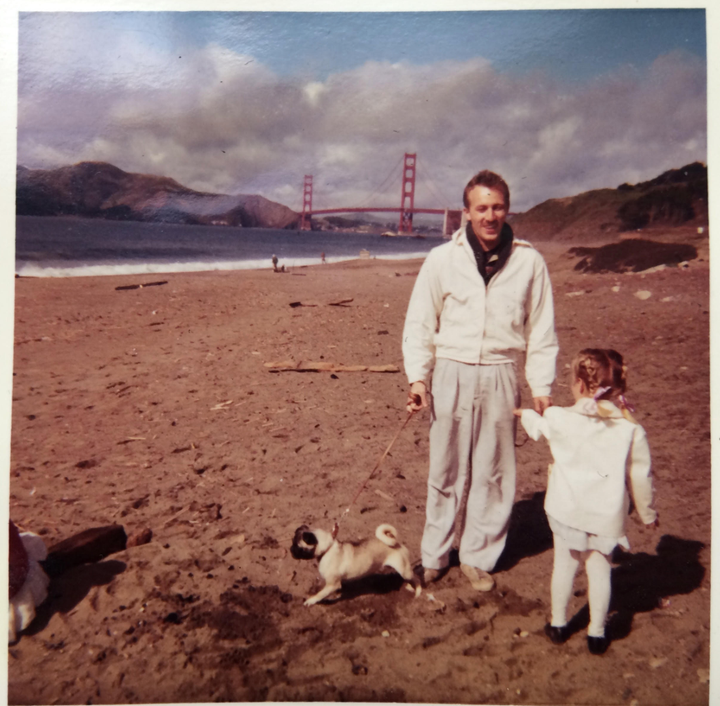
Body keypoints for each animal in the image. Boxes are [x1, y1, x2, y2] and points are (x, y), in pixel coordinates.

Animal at [290, 520, 420, 604]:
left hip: (404, 570)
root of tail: (397, 544)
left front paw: (311, 600)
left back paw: (418, 592)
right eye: (292, 543)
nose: (291, 549)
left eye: (299, 547)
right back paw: (410, 586)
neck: (327, 549)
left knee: (416, 577)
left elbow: (320, 594)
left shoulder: (332, 584)